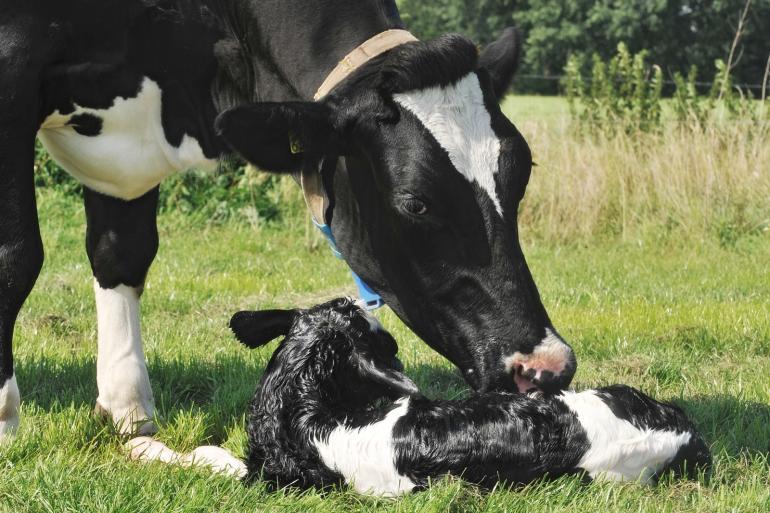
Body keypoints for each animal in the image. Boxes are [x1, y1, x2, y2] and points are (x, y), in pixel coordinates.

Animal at [0, 0, 572, 438]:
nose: (547, 367)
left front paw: (128, 408)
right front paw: (6, 420)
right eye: (416, 202)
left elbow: (122, 250)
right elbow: (17, 254)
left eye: (523, 172)